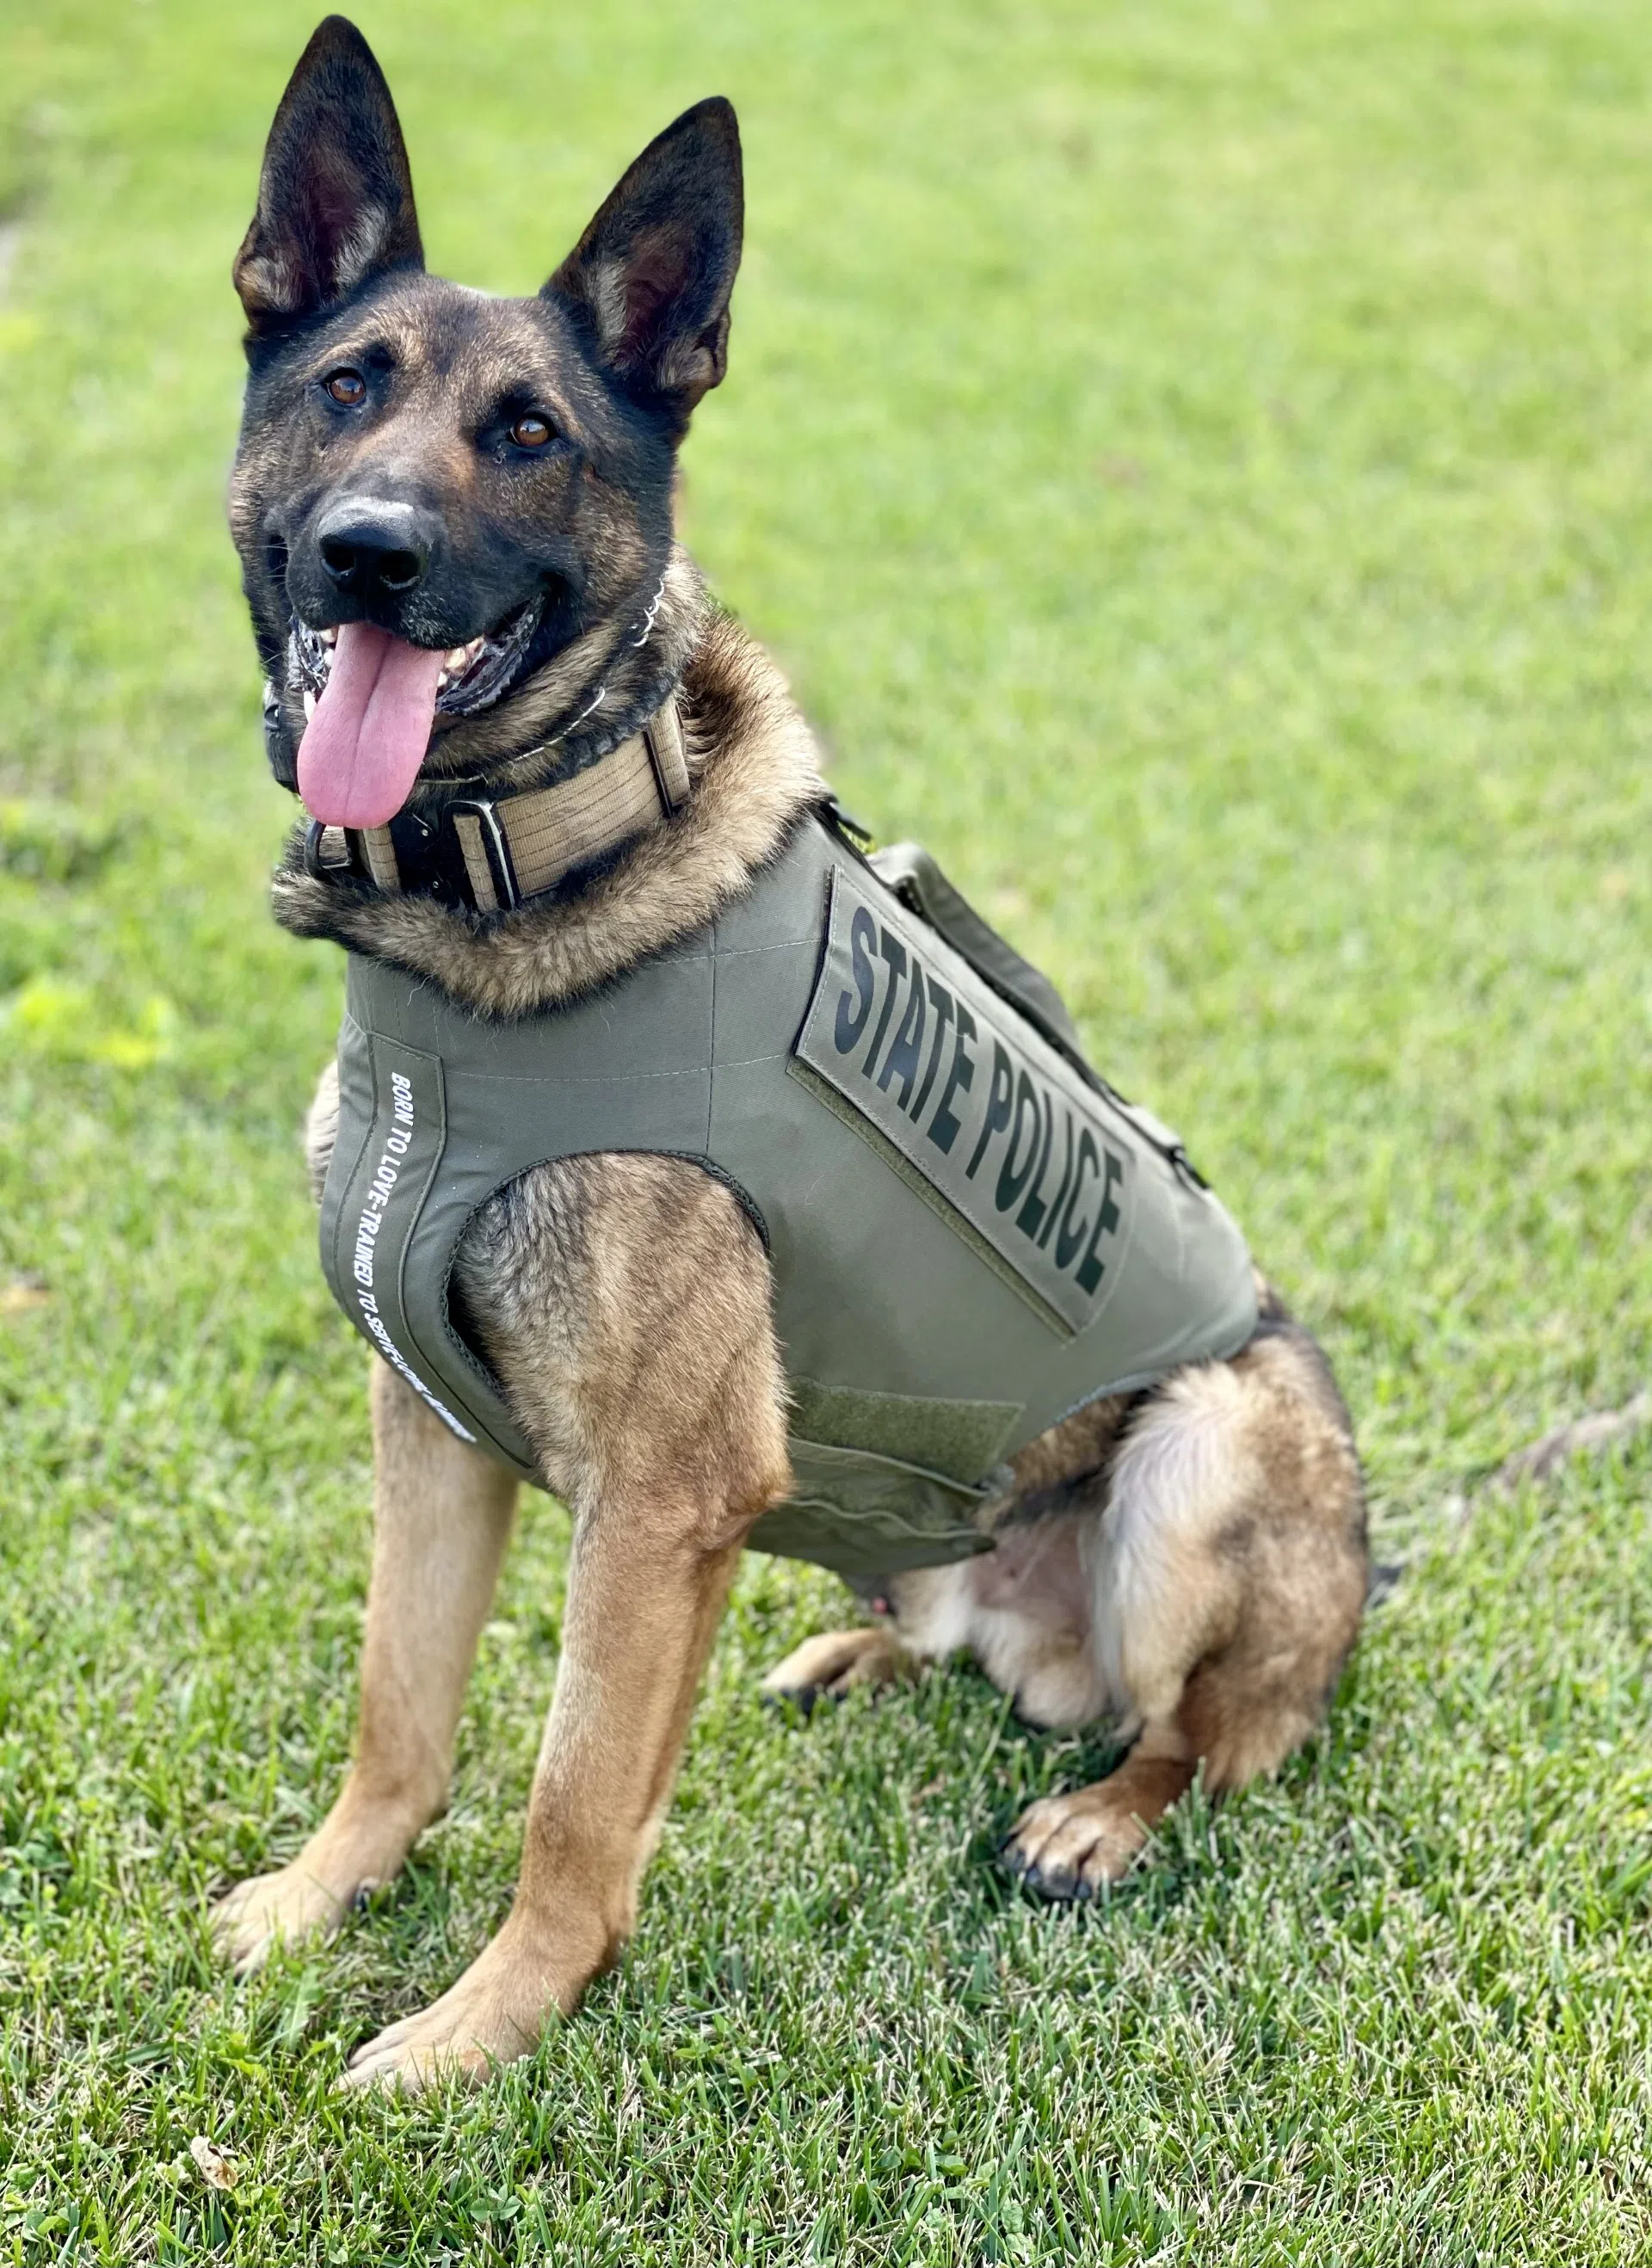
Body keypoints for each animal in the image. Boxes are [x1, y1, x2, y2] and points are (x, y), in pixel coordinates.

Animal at [211, 16, 1368, 2090]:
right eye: (347, 389)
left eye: (530, 435)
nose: (368, 555)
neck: (513, 904)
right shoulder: (433, 1430)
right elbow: (396, 1713)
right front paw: (324, 1896)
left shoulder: (660, 1501)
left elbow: (571, 1801)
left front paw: (484, 2028)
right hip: (897, 1527)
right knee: (954, 1625)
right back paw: (863, 1650)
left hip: (1211, 1446)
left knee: (1205, 1732)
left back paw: (1101, 1811)